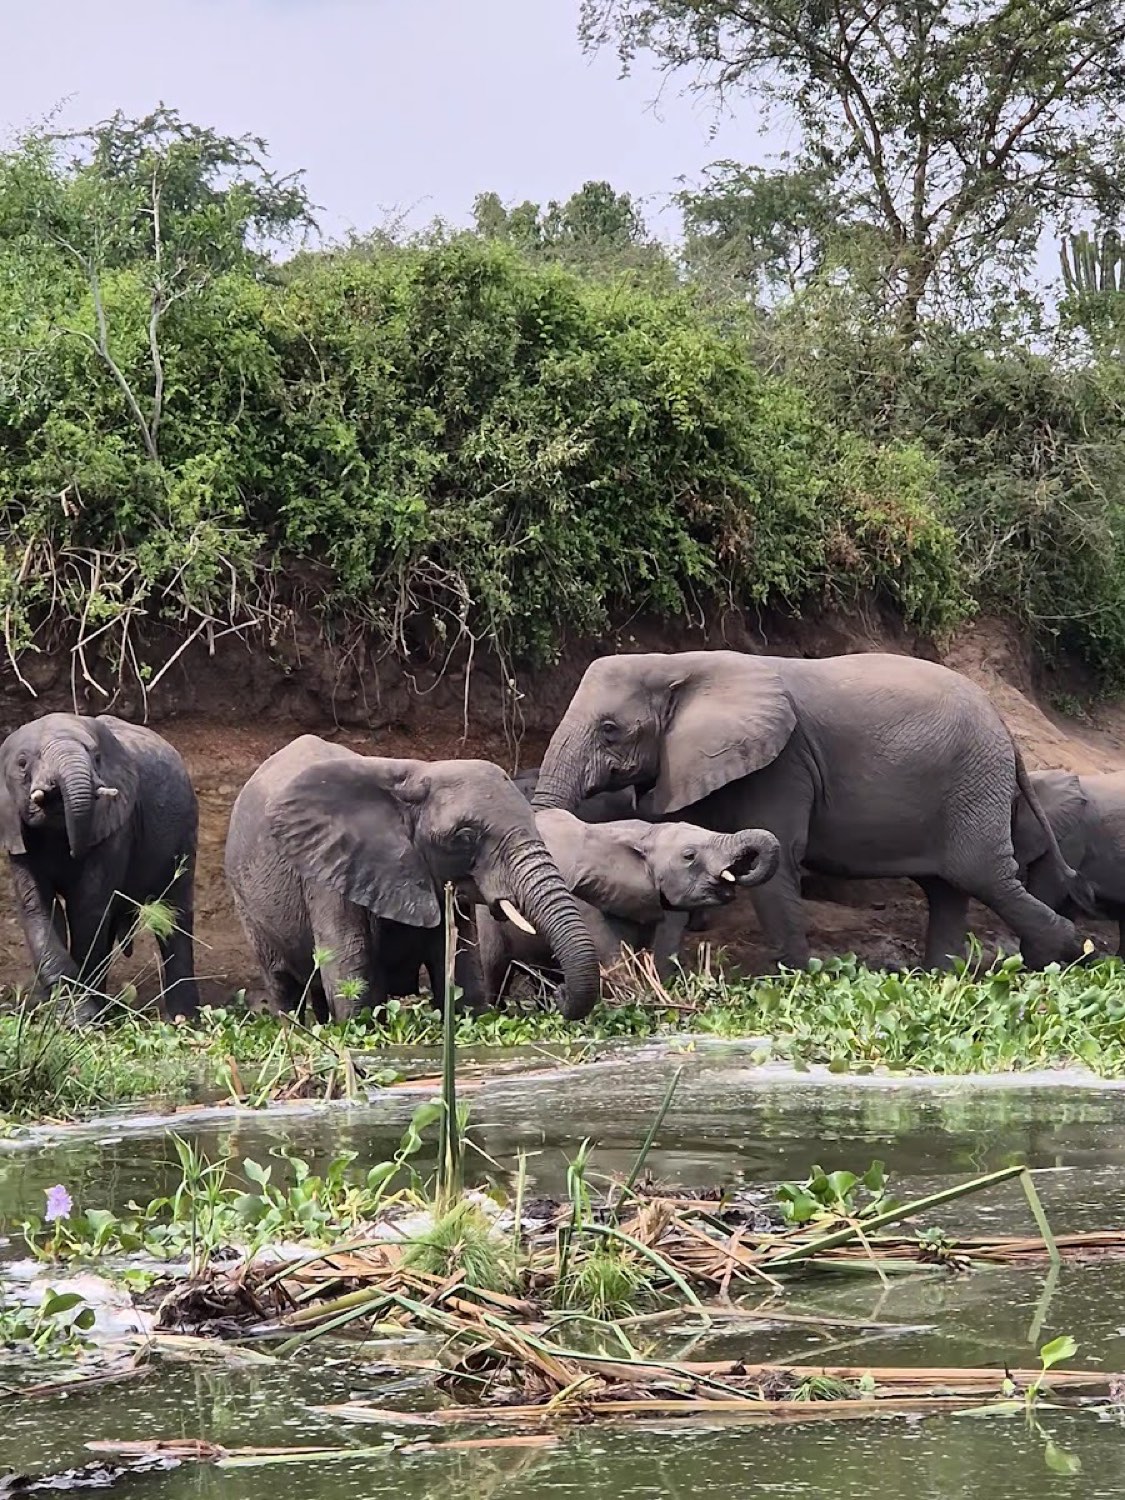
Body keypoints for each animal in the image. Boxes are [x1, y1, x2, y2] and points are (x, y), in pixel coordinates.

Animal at [0, 713, 200, 1021]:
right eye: (22, 763)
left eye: (96, 758)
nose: (75, 850)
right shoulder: (16, 832)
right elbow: (40, 908)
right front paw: (65, 1013)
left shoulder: (116, 827)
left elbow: (87, 908)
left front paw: (82, 1017)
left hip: (185, 829)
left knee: (174, 911)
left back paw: (182, 1020)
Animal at [224, 736, 602, 1021]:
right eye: (465, 837)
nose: (558, 994)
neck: (414, 773)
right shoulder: (326, 870)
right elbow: (351, 974)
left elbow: (462, 971)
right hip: (248, 905)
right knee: (283, 988)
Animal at [476, 809, 780, 1004]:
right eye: (689, 855)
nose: (739, 868)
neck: (643, 834)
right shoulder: (585, 902)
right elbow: (615, 962)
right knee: (494, 970)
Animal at [532, 650, 1088, 973]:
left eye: (609, 730)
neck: (676, 663)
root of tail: (1005, 728)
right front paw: (666, 980)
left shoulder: (782, 761)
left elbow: (779, 857)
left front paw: (792, 981)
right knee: (947, 888)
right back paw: (942, 978)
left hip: (973, 780)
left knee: (982, 877)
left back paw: (1059, 959)